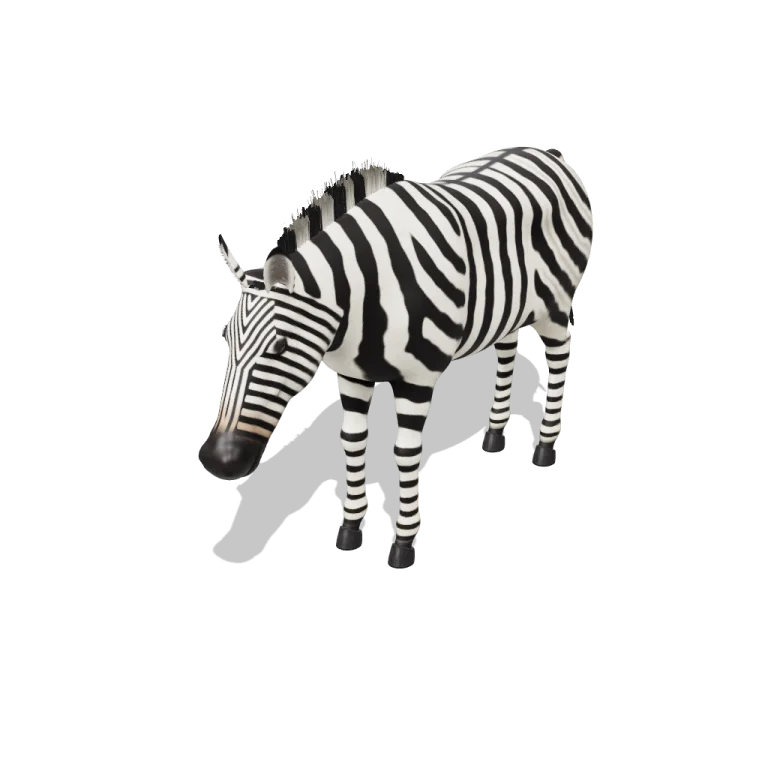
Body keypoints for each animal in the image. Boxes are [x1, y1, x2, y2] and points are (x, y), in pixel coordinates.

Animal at [203, 147, 593, 567]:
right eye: (226, 344)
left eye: (278, 347)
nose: (216, 460)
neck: (364, 299)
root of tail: (543, 153)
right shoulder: (353, 376)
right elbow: (351, 440)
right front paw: (351, 524)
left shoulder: (418, 378)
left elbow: (405, 452)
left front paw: (404, 541)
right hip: (508, 304)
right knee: (507, 348)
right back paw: (495, 432)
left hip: (556, 303)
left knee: (558, 360)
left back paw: (547, 446)